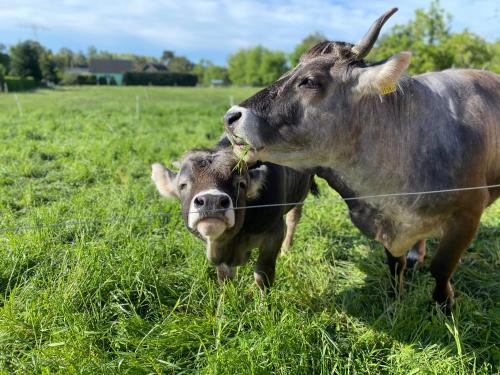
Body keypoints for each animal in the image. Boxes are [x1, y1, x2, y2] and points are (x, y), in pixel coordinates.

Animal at [151, 148, 316, 292]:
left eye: (241, 184)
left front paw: (264, 307)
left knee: (293, 219)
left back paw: (286, 250)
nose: (211, 201)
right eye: (183, 185)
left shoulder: (274, 233)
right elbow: (225, 278)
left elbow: (263, 276)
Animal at [225, 7, 500, 312]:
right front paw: (395, 300)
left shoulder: (468, 214)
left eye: (310, 81)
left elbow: (441, 268)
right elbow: (395, 265)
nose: (231, 116)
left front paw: (444, 306)